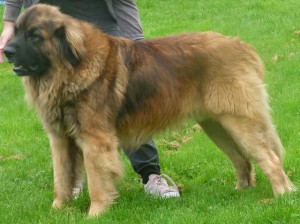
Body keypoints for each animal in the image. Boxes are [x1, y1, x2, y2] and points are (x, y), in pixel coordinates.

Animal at [4, 3, 296, 217]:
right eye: (16, 32)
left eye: (34, 36)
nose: (6, 50)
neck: (69, 69)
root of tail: (241, 45)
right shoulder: (60, 139)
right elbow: (61, 179)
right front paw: (57, 210)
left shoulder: (95, 140)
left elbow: (97, 181)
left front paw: (95, 213)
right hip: (216, 125)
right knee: (241, 159)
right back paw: (240, 192)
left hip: (238, 121)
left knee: (270, 159)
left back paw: (283, 196)